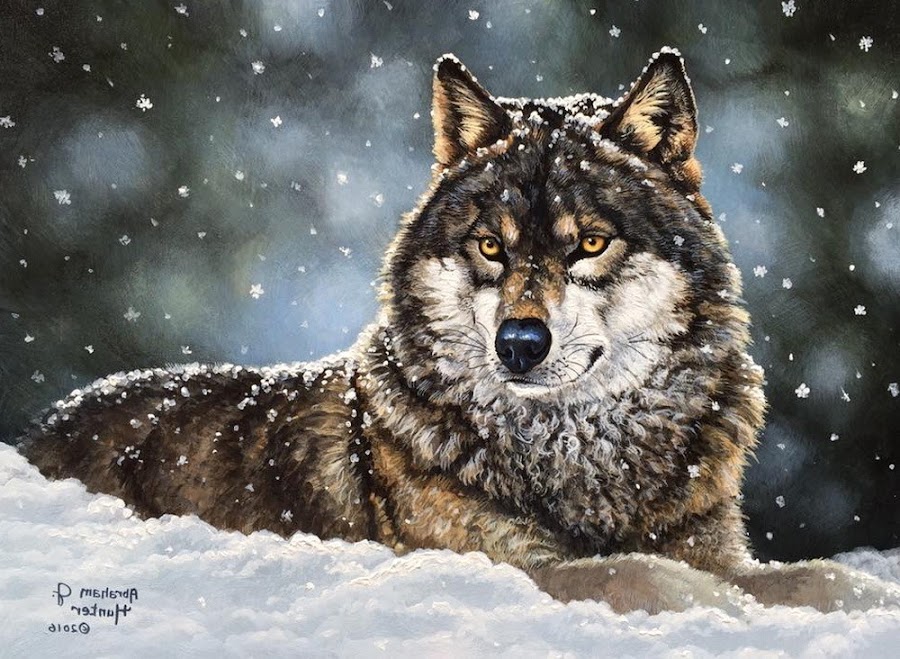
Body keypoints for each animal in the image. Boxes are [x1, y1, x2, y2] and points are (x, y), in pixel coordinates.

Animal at [18, 49, 899, 614]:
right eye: (490, 247)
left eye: (589, 243)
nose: (520, 343)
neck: (581, 453)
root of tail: (41, 425)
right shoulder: (496, 560)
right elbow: (640, 574)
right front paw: (723, 611)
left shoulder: (712, 544)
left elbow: (807, 576)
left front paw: (862, 596)